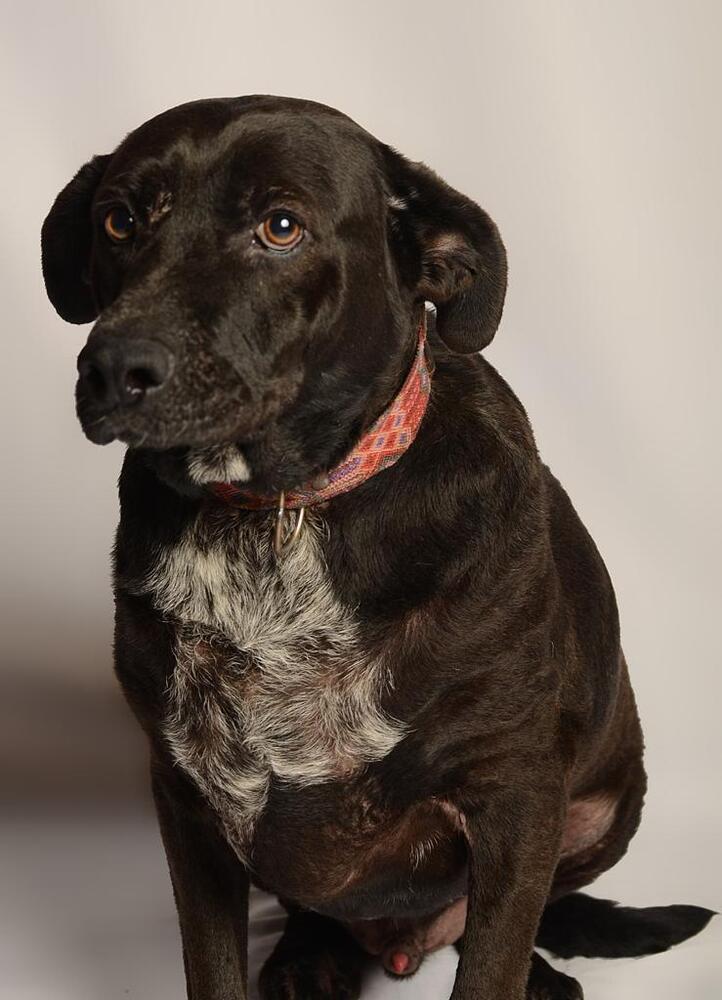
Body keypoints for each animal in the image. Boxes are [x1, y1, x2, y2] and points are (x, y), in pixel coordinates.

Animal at [42, 95, 712, 1000]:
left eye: (281, 226)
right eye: (118, 220)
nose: (114, 366)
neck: (277, 515)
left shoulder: (514, 792)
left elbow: (491, 964)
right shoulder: (186, 798)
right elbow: (212, 967)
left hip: (609, 804)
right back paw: (308, 959)